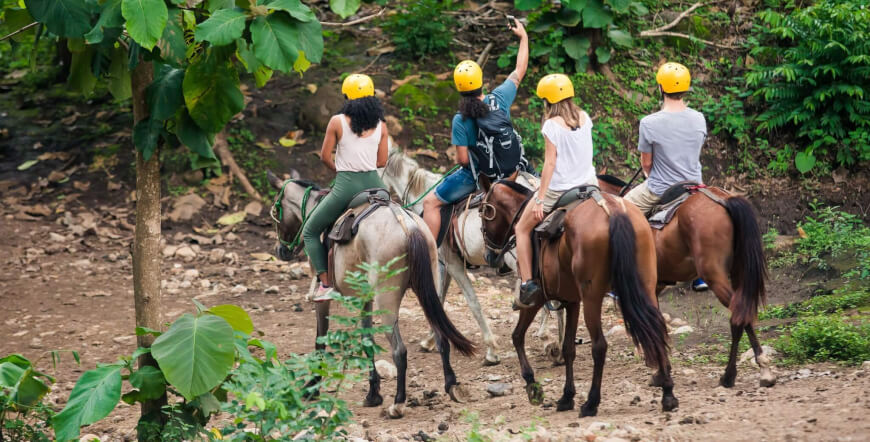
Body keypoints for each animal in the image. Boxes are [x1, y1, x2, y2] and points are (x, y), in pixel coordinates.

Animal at [270, 170, 480, 418]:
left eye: (276, 210)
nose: (281, 251)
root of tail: (407, 225)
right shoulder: (365, 298)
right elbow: (366, 340)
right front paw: (373, 393)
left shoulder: (323, 300)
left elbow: (320, 341)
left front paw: (312, 386)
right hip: (428, 291)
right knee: (441, 337)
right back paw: (451, 385)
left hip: (387, 302)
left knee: (399, 350)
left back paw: (398, 403)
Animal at [480, 180, 676, 418]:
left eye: (483, 212)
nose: (489, 256)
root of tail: (612, 210)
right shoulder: (571, 300)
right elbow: (568, 348)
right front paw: (566, 397)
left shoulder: (537, 298)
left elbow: (517, 336)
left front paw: (532, 386)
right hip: (645, 286)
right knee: (657, 331)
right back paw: (668, 394)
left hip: (592, 297)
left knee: (599, 346)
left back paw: (591, 403)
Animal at [596, 174, 772, 388]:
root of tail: (723, 199)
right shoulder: (655, 287)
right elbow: (657, 323)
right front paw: (661, 371)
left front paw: (659, 372)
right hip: (739, 272)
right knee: (745, 313)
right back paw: (761, 370)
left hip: (714, 275)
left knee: (738, 316)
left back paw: (731, 375)